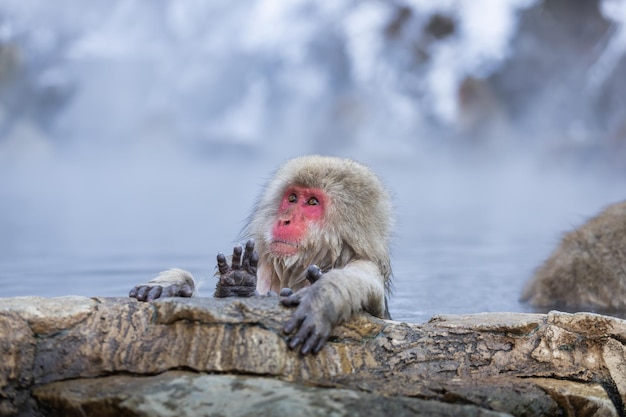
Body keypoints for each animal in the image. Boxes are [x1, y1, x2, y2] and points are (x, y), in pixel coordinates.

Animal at [129, 156, 392, 354]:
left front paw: (321, 297)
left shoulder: (366, 263)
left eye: (312, 202)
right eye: (292, 198)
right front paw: (173, 285)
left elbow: (362, 282)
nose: (285, 219)